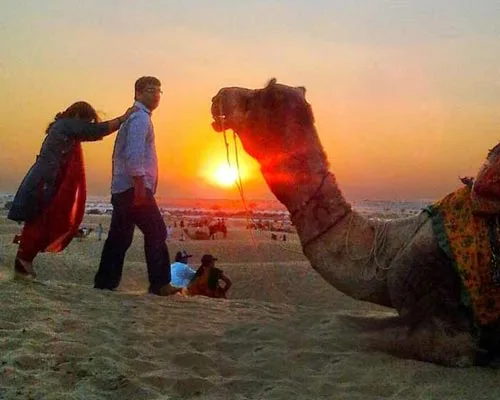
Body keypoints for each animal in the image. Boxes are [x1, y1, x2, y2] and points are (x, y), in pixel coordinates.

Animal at [209, 77, 500, 366]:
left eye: (260, 95)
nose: (218, 95)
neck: (392, 243)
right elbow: (346, 322)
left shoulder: (443, 316)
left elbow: (357, 335)